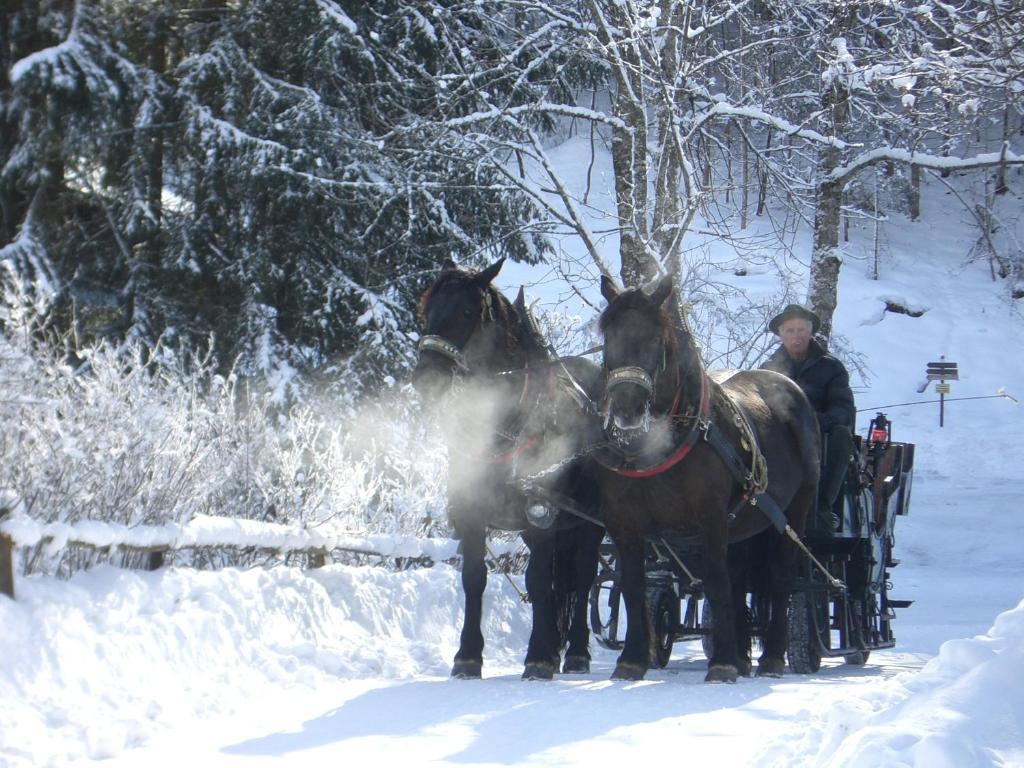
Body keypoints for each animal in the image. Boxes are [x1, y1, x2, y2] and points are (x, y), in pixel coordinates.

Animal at [409, 259, 602, 679]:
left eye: (467, 312)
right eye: (425, 312)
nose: (426, 378)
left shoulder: (541, 514)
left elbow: (539, 580)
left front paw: (538, 657)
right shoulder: (470, 514)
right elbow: (474, 579)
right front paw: (467, 656)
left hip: (588, 523)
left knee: (583, 576)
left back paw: (577, 652)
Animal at [598, 274, 819, 684]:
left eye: (655, 339)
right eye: (608, 337)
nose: (626, 408)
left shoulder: (711, 518)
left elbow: (717, 583)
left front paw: (723, 664)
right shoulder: (624, 522)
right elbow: (634, 585)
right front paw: (633, 659)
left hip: (792, 514)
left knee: (780, 577)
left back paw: (771, 657)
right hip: (746, 523)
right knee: (740, 577)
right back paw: (745, 654)